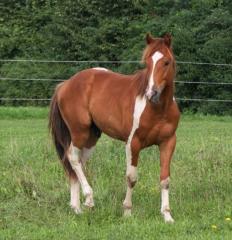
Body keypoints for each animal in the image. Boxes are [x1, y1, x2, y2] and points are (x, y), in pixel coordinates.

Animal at [48, 32, 179, 222]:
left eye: (166, 62)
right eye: (147, 63)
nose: (151, 93)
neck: (158, 110)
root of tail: (64, 85)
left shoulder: (168, 142)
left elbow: (165, 179)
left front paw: (167, 216)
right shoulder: (133, 144)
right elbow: (131, 178)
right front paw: (127, 212)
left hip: (91, 137)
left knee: (77, 163)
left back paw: (77, 208)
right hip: (79, 132)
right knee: (72, 157)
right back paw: (88, 199)